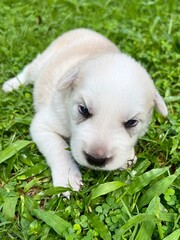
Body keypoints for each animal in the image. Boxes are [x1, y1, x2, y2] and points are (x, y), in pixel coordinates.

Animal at [2, 28, 167, 193]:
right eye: (84, 110)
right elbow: (58, 148)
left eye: (132, 122)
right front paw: (67, 178)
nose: (96, 159)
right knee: (29, 70)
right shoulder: (44, 125)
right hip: (43, 60)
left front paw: (127, 158)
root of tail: (84, 29)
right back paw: (11, 85)